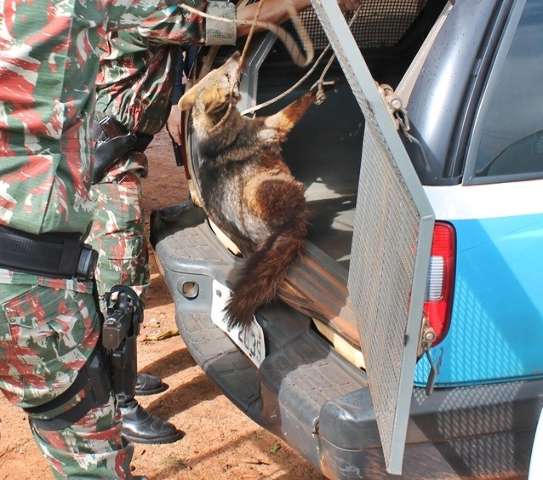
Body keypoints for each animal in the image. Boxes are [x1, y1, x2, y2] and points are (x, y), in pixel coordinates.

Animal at [180, 52, 314, 330]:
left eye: (219, 69)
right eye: (226, 74)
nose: (235, 53)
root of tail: (287, 228)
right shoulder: (274, 126)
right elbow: (294, 108)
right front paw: (316, 90)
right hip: (259, 188)